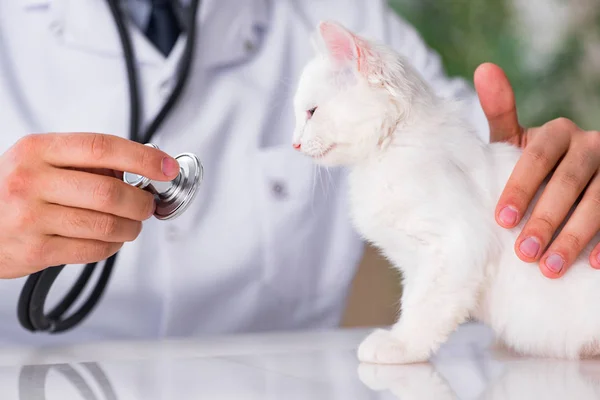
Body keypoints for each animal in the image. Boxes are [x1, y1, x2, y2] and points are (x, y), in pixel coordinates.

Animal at [292, 20, 600, 364]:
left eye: (311, 112)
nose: (295, 143)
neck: (390, 151)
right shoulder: (418, 262)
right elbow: (415, 299)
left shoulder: (453, 246)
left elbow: (422, 307)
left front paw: (400, 345)